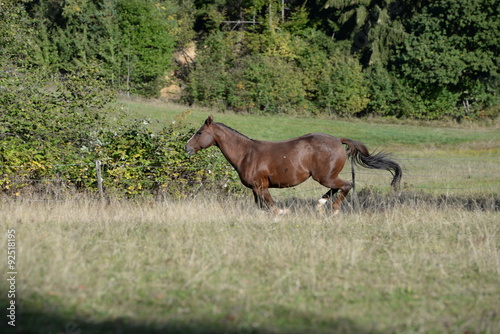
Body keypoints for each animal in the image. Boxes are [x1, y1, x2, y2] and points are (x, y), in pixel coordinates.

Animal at [185, 116, 402, 215]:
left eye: (199, 132)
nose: (187, 148)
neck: (246, 153)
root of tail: (338, 141)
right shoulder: (256, 189)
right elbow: (262, 207)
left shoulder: (261, 186)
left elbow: (272, 207)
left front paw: (282, 213)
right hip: (326, 177)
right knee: (337, 188)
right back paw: (320, 204)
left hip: (325, 176)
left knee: (346, 185)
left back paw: (334, 209)